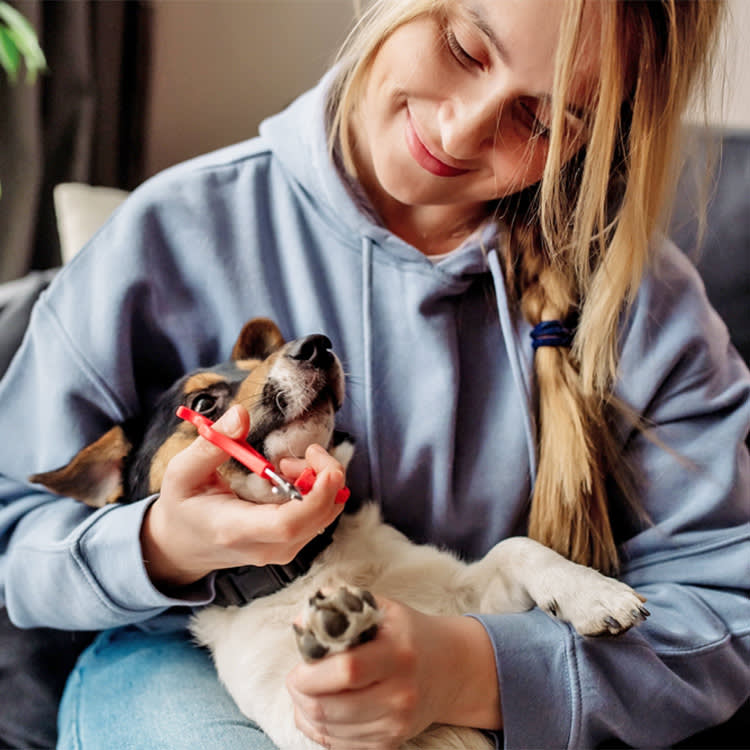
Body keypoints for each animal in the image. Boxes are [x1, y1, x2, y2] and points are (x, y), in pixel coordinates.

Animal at [30, 318, 652, 750]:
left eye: (263, 357)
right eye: (202, 403)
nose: (315, 344)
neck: (303, 567)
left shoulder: (471, 600)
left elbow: (516, 547)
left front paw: (593, 593)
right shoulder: (300, 721)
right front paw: (337, 634)